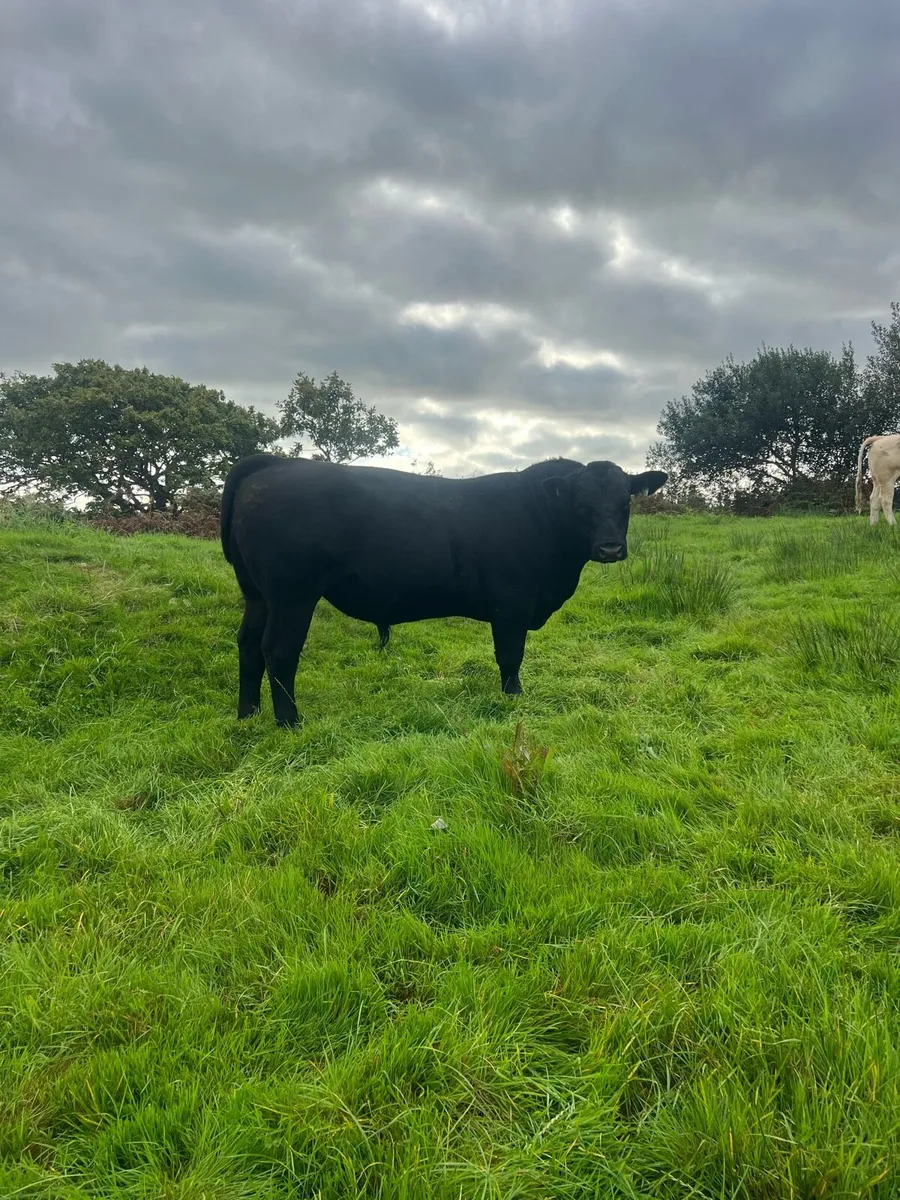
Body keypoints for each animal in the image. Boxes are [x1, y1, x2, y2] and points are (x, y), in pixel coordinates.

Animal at [220, 453, 667, 726]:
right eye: (580, 504)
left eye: (626, 502)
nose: (610, 548)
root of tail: (274, 464)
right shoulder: (512, 604)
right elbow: (510, 656)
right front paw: (513, 699)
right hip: (292, 595)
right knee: (279, 650)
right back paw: (290, 722)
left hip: (257, 594)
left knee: (248, 644)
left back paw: (248, 714)